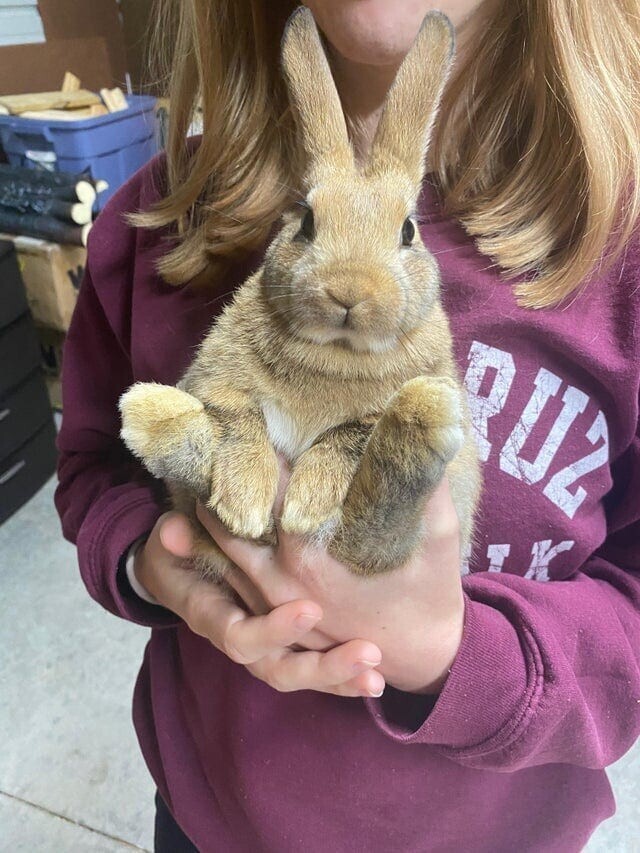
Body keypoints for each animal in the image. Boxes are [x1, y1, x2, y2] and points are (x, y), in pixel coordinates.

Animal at [119, 8, 480, 580]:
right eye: (306, 222)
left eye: (408, 231)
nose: (349, 291)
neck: (334, 350)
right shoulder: (215, 382)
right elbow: (239, 420)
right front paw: (244, 504)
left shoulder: (383, 409)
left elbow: (348, 434)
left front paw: (306, 505)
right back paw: (154, 417)